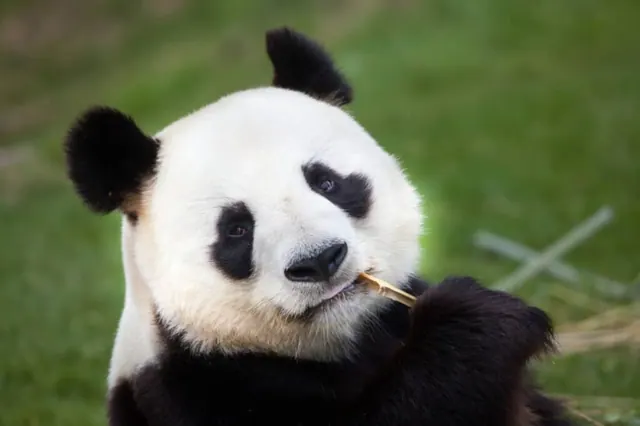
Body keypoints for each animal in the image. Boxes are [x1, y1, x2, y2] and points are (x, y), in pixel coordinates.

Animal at [64, 27, 574, 426]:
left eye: (326, 182)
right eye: (236, 229)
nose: (320, 260)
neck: (340, 343)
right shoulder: (190, 391)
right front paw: (479, 318)